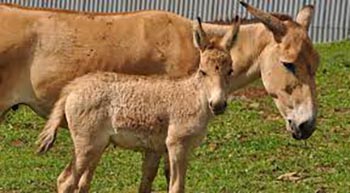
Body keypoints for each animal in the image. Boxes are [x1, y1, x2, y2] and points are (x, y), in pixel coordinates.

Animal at [37, 17, 241, 192]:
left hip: (97, 145)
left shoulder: (158, 150)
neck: (194, 97)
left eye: (230, 71)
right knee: (65, 181)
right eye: (203, 72)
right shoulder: (178, 145)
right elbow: (176, 187)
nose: (218, 105)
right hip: (87, 144)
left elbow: (150, 184)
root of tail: (73, 87)